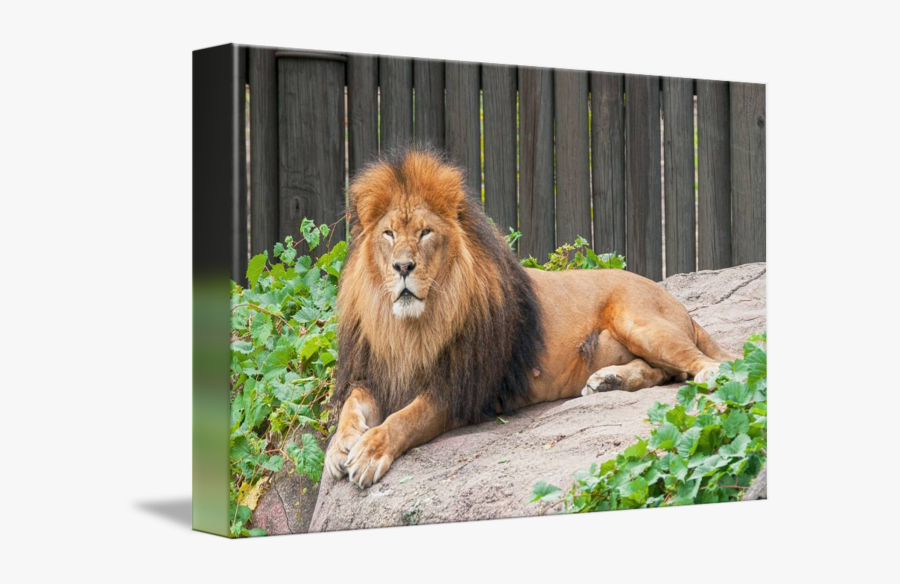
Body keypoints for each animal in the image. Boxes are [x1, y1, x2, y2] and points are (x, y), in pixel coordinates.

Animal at [326, 148, 736, 488]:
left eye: (425, 233)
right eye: (389, 234)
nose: (403, 267)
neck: (411, 327)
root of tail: (676, 302)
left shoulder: (460, 390)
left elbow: (406, 418)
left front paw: (370, 452)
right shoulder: (376, 374)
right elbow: (351, 405)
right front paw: (339, 449)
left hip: (640, 322)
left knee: (695, 362)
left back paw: (709, 374)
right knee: (662, 373)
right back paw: (608, 381)